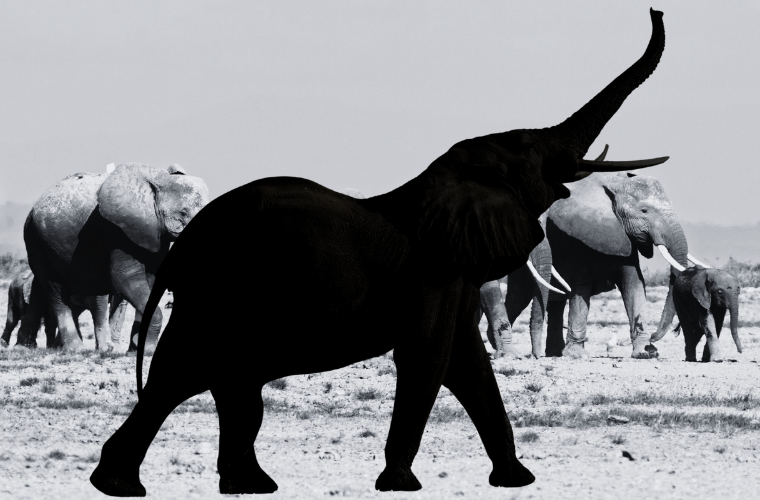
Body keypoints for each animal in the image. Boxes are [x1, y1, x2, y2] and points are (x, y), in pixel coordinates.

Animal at [20, 163, 208, 352]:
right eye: (183, 213)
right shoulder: (117, 229)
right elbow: (126, 279)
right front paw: (148, 350)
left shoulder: (155, 235)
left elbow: (151, 279)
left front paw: (137, 349)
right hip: (37, 241)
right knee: (55, 289)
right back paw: (75, 349)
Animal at [542, 170, 709, 359]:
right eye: (644, 211)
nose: (653, 338)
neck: (614, 183)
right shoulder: (577, 236)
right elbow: (580, 289)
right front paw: (576, 354)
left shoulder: (624, 237)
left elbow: (634, 283)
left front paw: (645, 352)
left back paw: (554, 352)